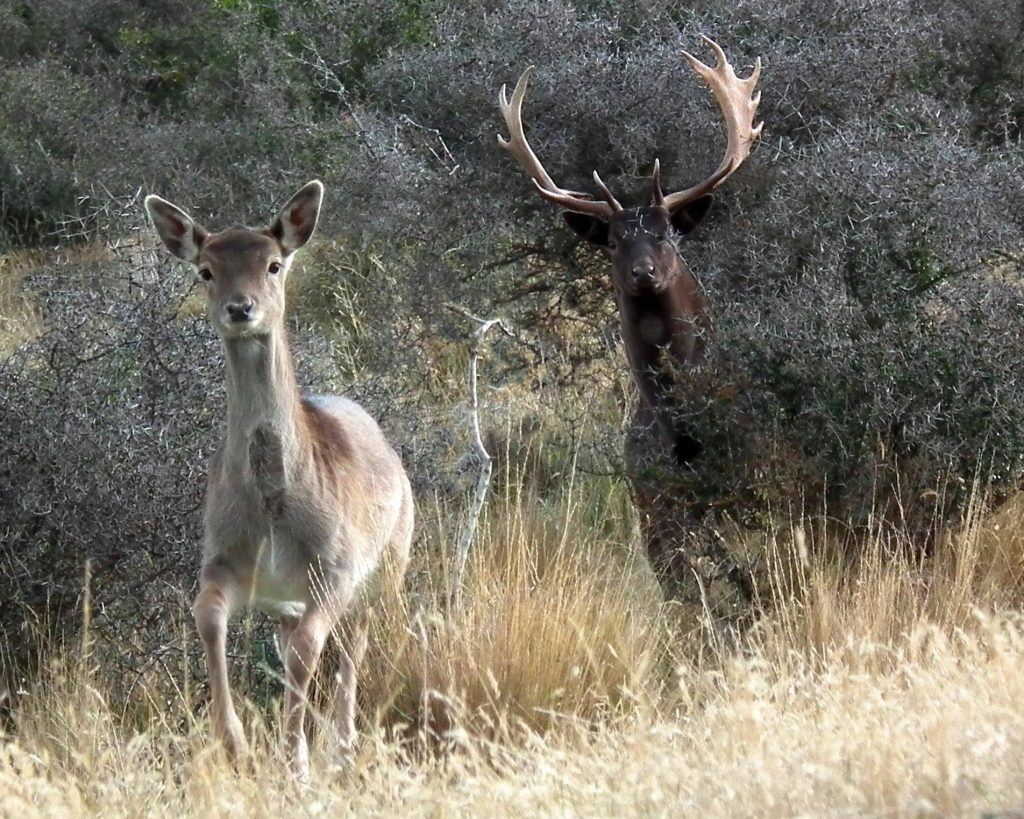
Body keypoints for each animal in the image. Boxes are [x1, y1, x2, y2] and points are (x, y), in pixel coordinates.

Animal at [145, 181, 415, 773]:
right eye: (205, 270)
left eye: (273, 264)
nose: (240, 308)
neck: (272, 515)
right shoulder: (222, 556)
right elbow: (207, 616)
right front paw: (236, 741)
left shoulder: (335, 568)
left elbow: (309, 653)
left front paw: (296, 761)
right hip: (291, 602)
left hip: (391, 560)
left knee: (352, 650)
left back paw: (342, 747)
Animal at [499, 38, 765, 597]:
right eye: (616, 241)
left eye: (665, 233)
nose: (644, 272)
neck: (681, 431)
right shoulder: (653, 506)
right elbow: (686, 592)